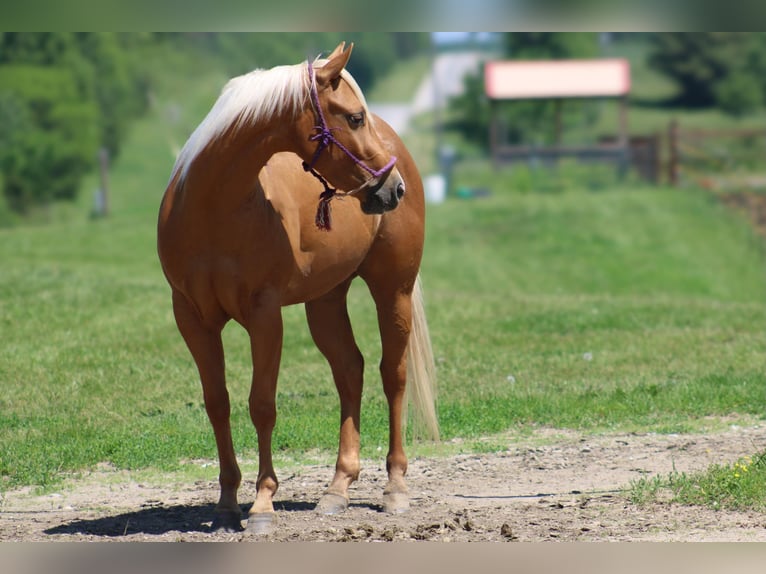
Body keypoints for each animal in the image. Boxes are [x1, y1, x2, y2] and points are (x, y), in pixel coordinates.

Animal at [158, 41, 438, 536]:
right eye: (354, 117)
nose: (393, 187)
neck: (212, 209)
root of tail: (398, 147)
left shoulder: (264, 316)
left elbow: (261, 405)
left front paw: (262, 504)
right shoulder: (192, 318)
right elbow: (218, 403)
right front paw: (226, 503)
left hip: (393, 291)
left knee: (393, 374)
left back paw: (395, 489)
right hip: (325, 301)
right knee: (350, 370)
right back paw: (337, 490)